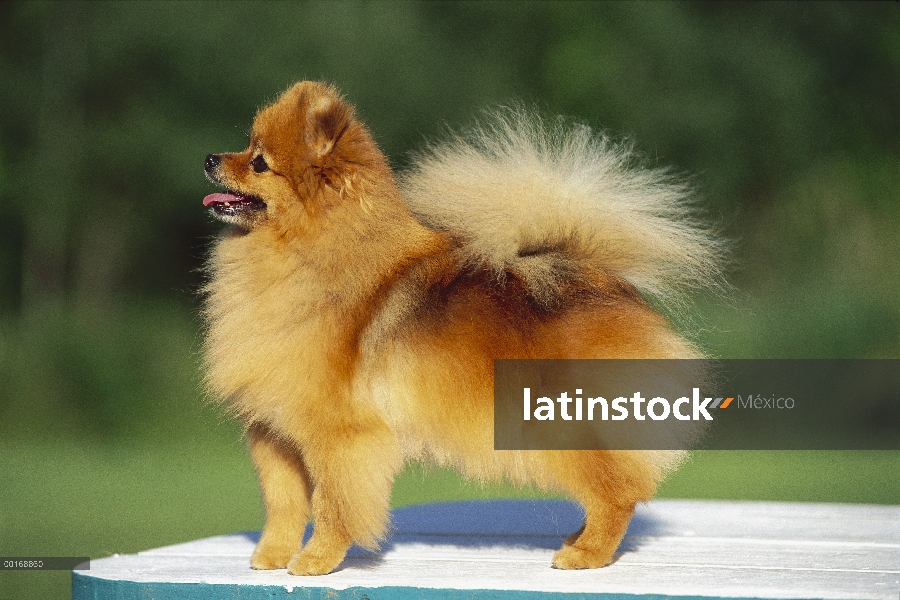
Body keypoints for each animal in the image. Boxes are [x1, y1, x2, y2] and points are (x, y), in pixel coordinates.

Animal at [200, 81, 720, 576]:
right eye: (245, 148)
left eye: (259, 162)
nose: (209, 158)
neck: (306, 254)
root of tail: (596, 278)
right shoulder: (275, 433)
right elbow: (284, 504)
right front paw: (273, 556)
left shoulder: (340, 434)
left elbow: (334, 505)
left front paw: (316, 560)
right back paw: (579, 540)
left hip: (560, 425)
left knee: (618, 490)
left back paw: (586, 554)